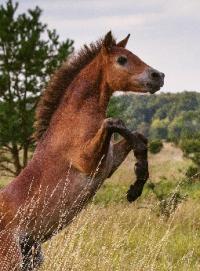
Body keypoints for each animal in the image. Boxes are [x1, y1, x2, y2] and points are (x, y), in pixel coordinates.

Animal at [0, 30, 164, 270]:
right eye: (122, 59)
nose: (158, 76)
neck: (75, 118)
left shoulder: (108, 164)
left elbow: (138, 138)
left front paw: (135, 188)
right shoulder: (87, 161)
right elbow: (114, 122)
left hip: (31, 257)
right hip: (10, 260)